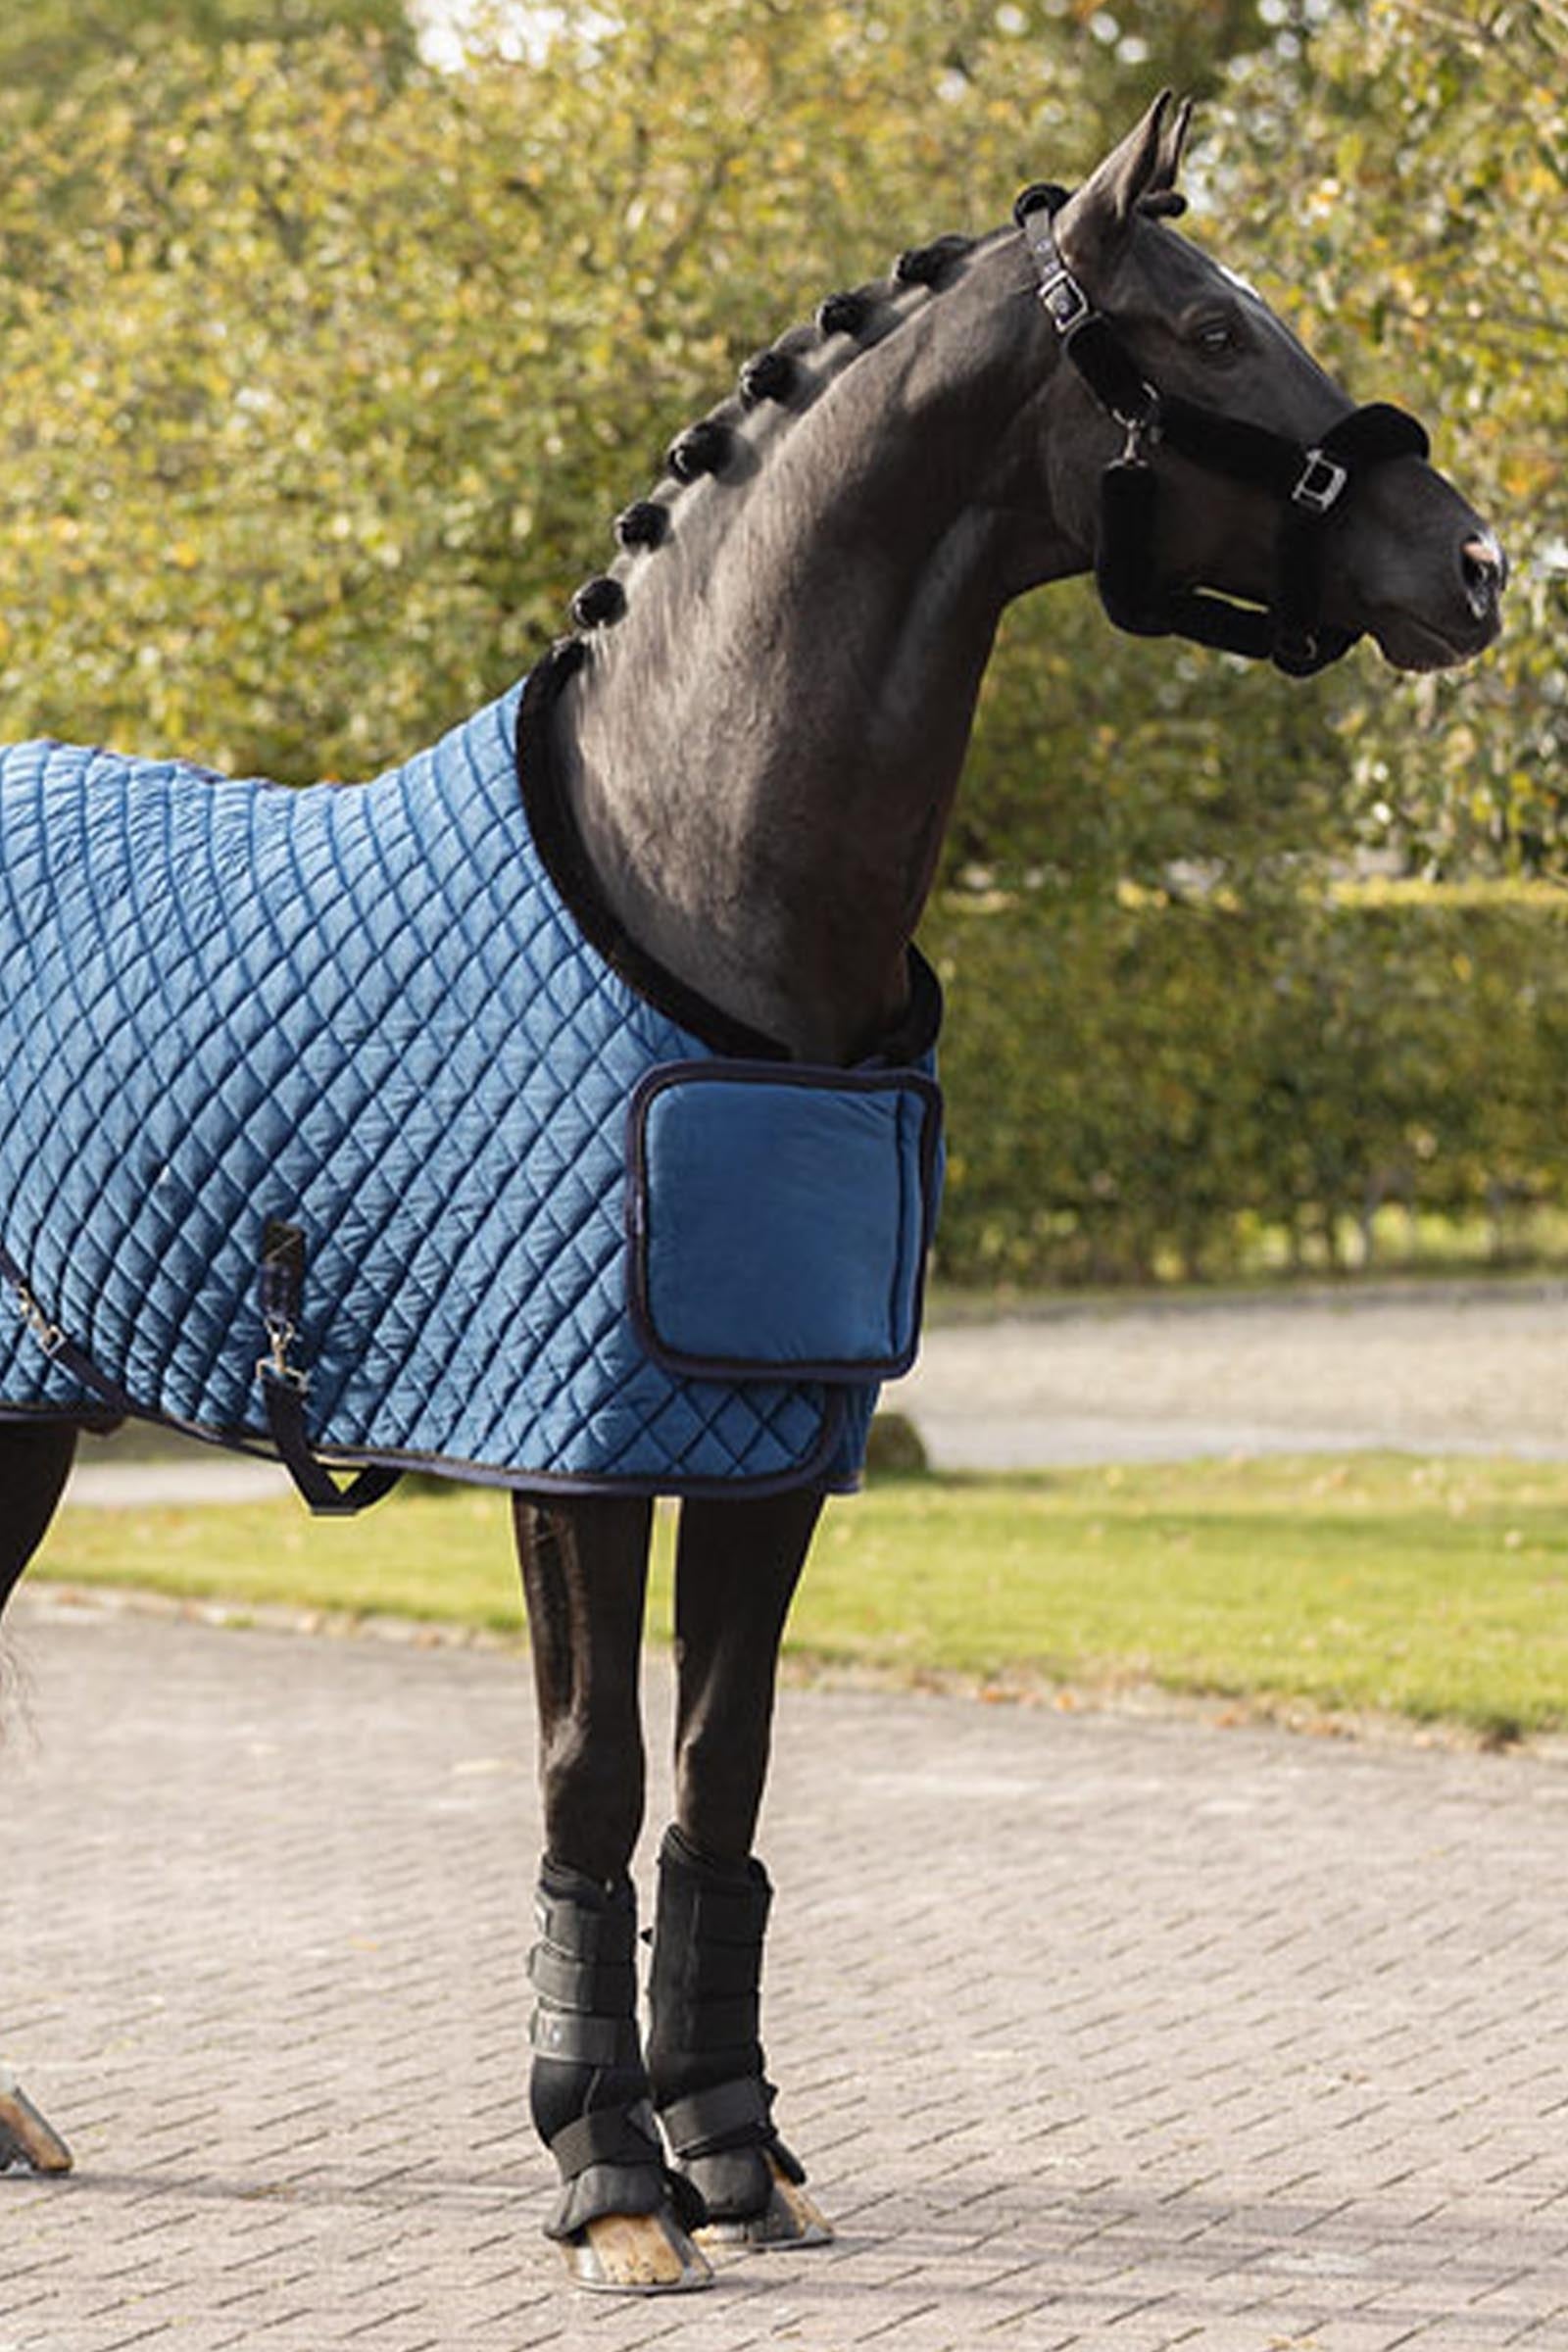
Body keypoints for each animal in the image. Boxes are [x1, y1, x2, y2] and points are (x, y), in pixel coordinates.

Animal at [0, 95, 1503, 2294]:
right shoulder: (567, 1448)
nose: (1473, 563)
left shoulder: (766, 1438)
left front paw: (731, 2151)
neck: (696, 861)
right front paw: (608, 2180)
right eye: (1215, 327)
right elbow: (593, 1772)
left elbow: (721, 1772)